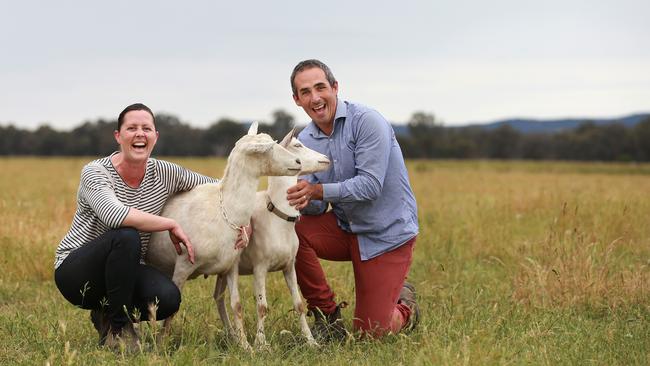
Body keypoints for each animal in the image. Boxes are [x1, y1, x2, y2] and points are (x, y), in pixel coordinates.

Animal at [146, 123, 300, 348]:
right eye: (268, 149)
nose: (298, 162)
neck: (225, 209)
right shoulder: (183, 265)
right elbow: (173, 308)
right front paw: (161, 345)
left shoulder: (230, 266)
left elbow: (237, 305)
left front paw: (245, 346)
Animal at [215, 129, 330, 348]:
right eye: (297, 145)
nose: (327, 159)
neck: (279, 217)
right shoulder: (260, 268)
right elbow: (262, 306)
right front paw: (261, 344)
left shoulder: (289, 266)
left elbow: (299, 304)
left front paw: (311, 341)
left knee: (218, 297)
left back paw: (232, 336)